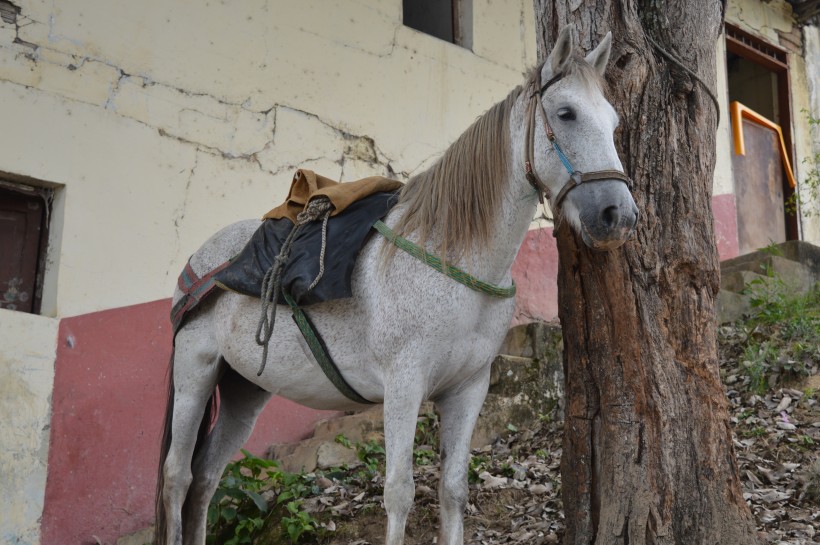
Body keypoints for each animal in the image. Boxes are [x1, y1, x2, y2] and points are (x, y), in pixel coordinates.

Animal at [157, 25, 636, 544]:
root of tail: (198, 265)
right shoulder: (403, 387)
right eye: (566, 113)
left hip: (245, 388)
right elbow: (400, 493)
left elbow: (453, 490)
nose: (618, 215)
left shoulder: (469, 389)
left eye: (613, 123)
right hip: (196, 371)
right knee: (177, 476)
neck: (451, 260)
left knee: (206, 478)